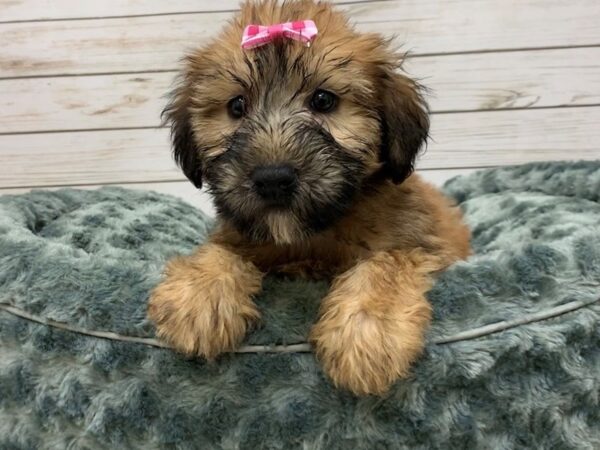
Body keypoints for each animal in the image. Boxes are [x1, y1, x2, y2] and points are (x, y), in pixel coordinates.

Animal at [148, 0, 472, 394]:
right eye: (237, 107)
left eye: (323, 100)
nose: (273, 179)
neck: (312, 237)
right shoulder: (238, 233)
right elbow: (221, 250)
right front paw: (199, 295)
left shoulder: (420, 242)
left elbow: (387, 262)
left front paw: (368, 332)